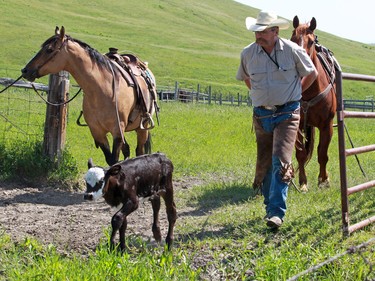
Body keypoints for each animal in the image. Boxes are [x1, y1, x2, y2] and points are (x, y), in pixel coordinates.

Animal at [21, 26, 157, 164]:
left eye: (49, 50)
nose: (25, 70)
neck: (103, 90)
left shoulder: (117, 132)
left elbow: (114, 160)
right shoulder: (98, 132)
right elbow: (110, 159)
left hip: (142, 127)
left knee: (139, 151)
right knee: (127, 150)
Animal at [290, 16, 340, 191]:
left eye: (311, 41)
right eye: (292, 39)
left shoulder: (327, 125)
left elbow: (322, 154)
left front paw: (324, 180)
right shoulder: (298, 125)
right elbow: (301, 154)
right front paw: (303, 183)